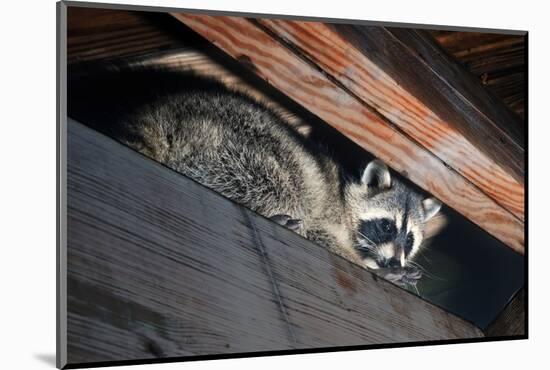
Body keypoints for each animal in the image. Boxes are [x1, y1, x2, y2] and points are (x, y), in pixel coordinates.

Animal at [69, 65, 442, 286]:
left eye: (410, 238)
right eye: (386, 226)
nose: (393, 260)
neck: (345, 194)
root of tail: (158, 114)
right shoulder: (327, 213)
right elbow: (321, 233)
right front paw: (374, 268)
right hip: (234, 143)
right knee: (278, 182)